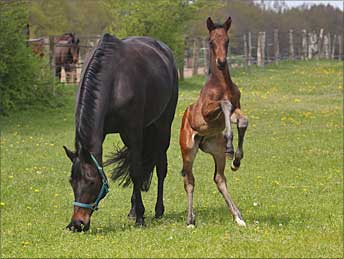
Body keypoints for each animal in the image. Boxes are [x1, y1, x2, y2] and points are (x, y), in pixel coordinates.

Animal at [62, 33, 179, 233]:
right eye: (71, 181)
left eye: (91, 182)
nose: (77, 224)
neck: (115, 79)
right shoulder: (103, 134)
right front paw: (136, 212)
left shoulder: (132, 132)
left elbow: (136, 172)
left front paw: (140, 217)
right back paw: (133, 210)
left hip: (163, 126)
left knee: (160, 167)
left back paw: (158, 210)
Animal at [179, 16, 249, 228]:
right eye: (210, 41)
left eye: (227, 40)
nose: (221, 62)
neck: (223, 85)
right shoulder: (208, 111)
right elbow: (224, 104)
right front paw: (230, 144)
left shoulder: (237, 108)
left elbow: (243, 121)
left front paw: (237, 159)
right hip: (188, 150)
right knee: (189, 181)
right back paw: (190, 220)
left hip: (215, 150)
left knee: (219, 178)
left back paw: (238, 217)